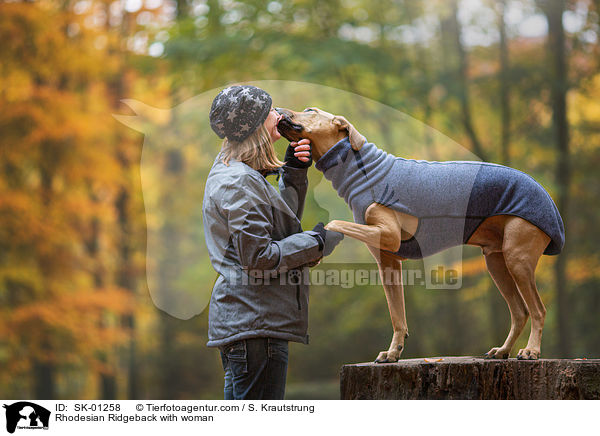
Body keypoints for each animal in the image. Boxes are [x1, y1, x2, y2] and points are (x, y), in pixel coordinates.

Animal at [274, 105, 564, 362]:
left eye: (310, 111)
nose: (276, 110)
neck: (361, 170)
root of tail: (548, 198)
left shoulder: (389, 234)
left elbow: (334, 222)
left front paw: (318, 241)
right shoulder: (388, 264)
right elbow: (397, 316)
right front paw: (393, 352)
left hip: (518, 257)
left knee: (538, 310)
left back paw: (531, 351)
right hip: (496, 261)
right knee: (520, 312)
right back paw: (502, 351)